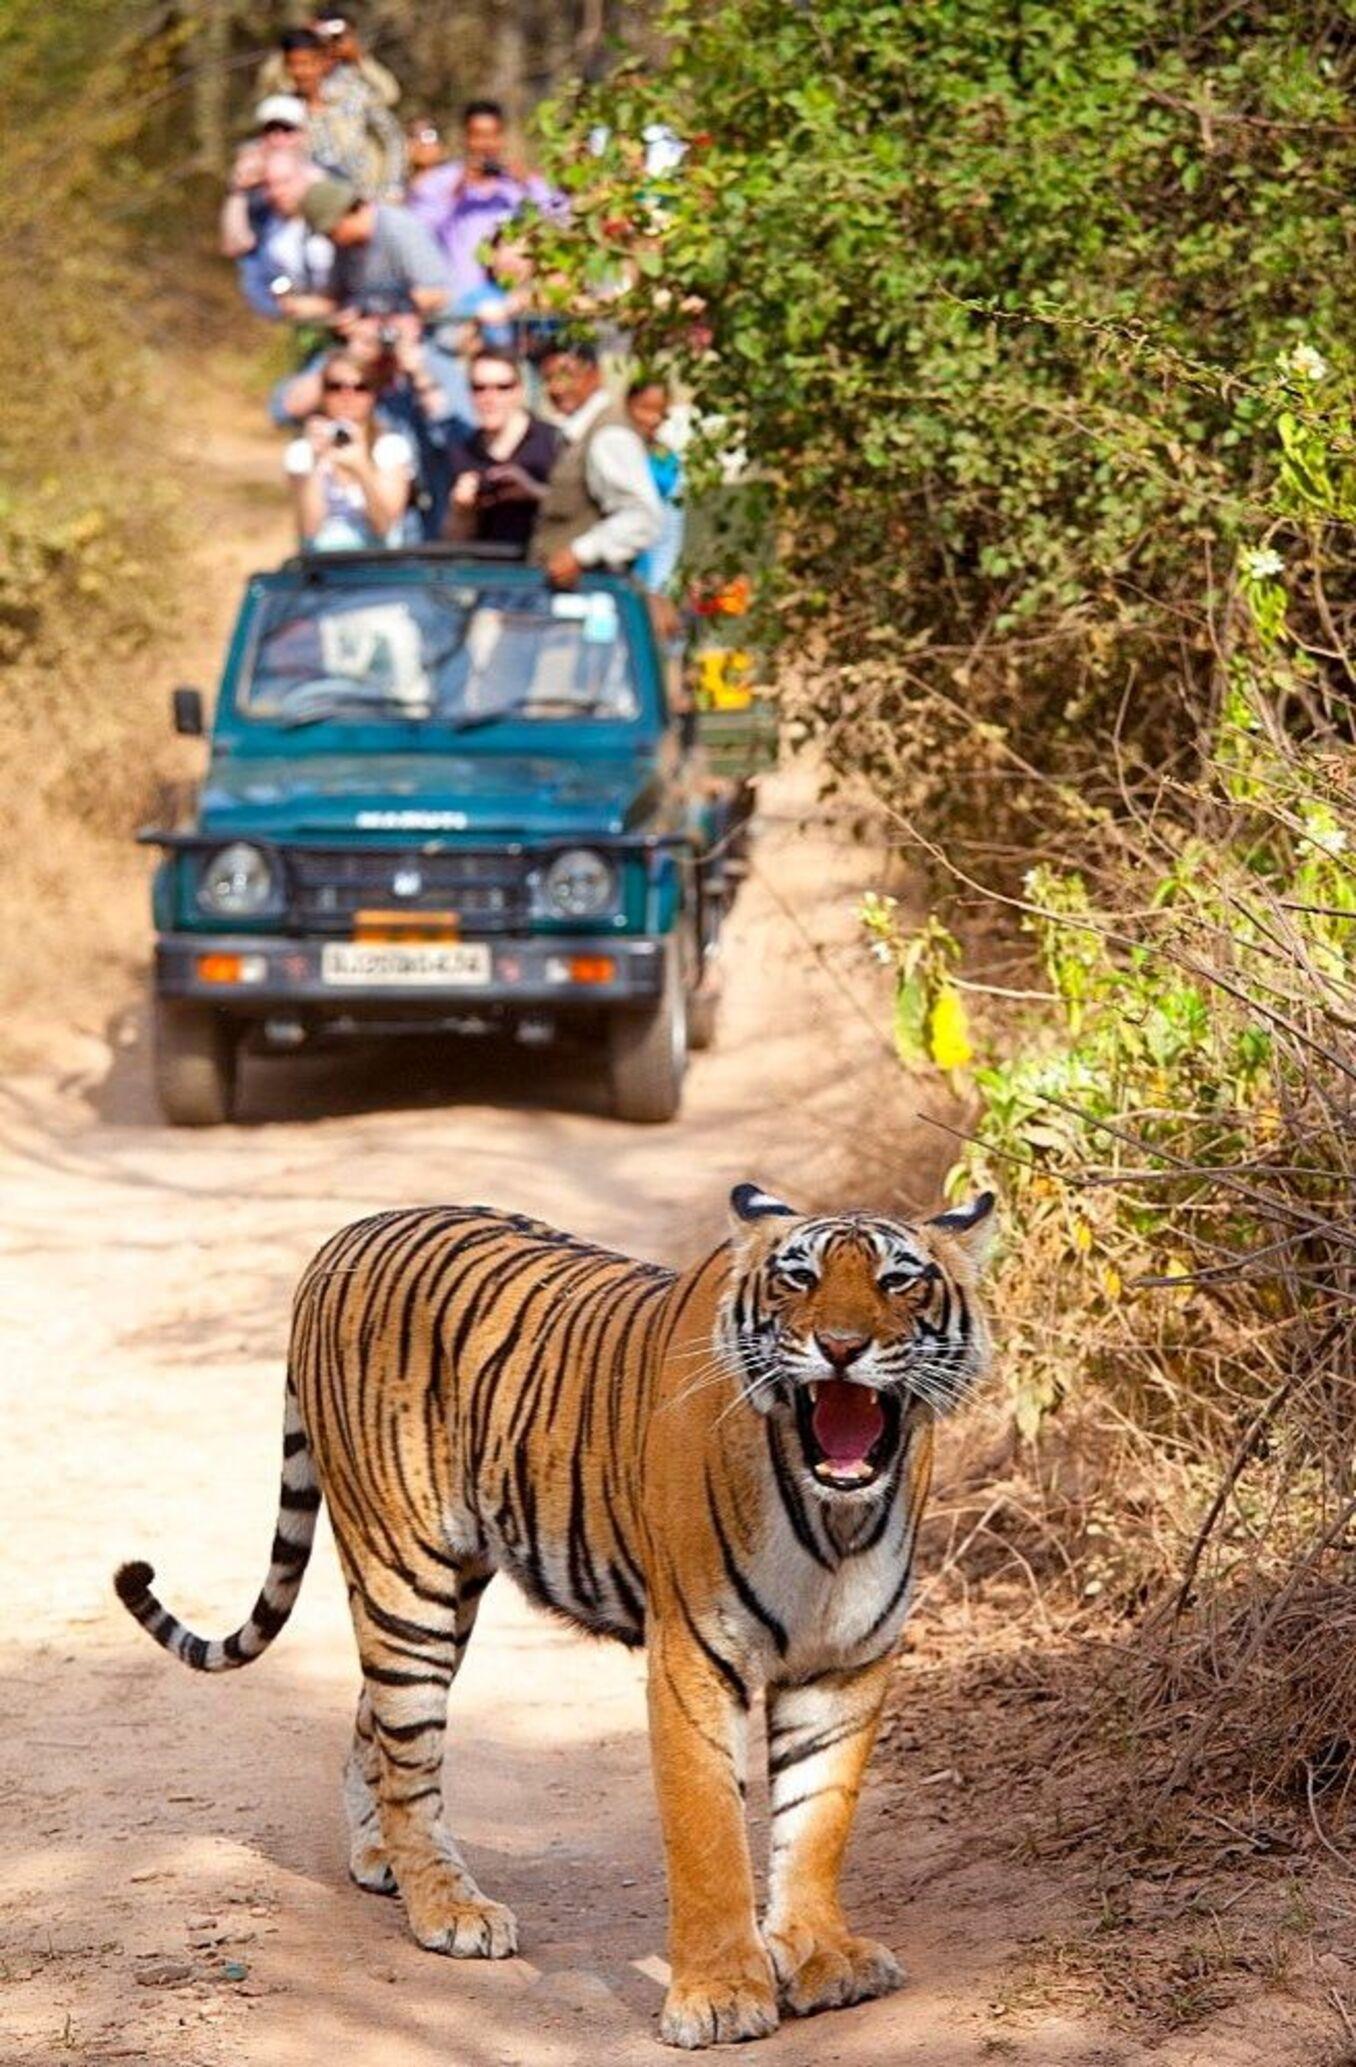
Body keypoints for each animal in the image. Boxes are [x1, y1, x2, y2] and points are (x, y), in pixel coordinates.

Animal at [114, 1180, 994, 2050]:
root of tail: (349, 1231)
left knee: (375, 1723)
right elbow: (709, 1833)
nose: (841, 1346)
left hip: (449, 1587)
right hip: (404, 1571)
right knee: (410, 1747)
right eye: (798, 1279)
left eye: (899, 1281)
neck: (835, 1519)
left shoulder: (846, 1665)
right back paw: (448, 1906)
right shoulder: (693, 1658)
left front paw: (821, 1957)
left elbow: (816, 1822)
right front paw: (720, 1996)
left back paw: (379, 1856)